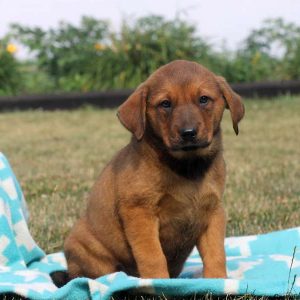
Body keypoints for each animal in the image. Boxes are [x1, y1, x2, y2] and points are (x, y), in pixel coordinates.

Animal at [63, 59, 244, 280]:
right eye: (165, 104)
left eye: (203, 99)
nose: (188, 133)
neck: (187, 167)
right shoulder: (140, 211)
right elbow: (152, 255)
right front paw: (158, 282)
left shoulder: (213, 212)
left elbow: (216, 253)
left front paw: (217, 280)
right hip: (85, 249)